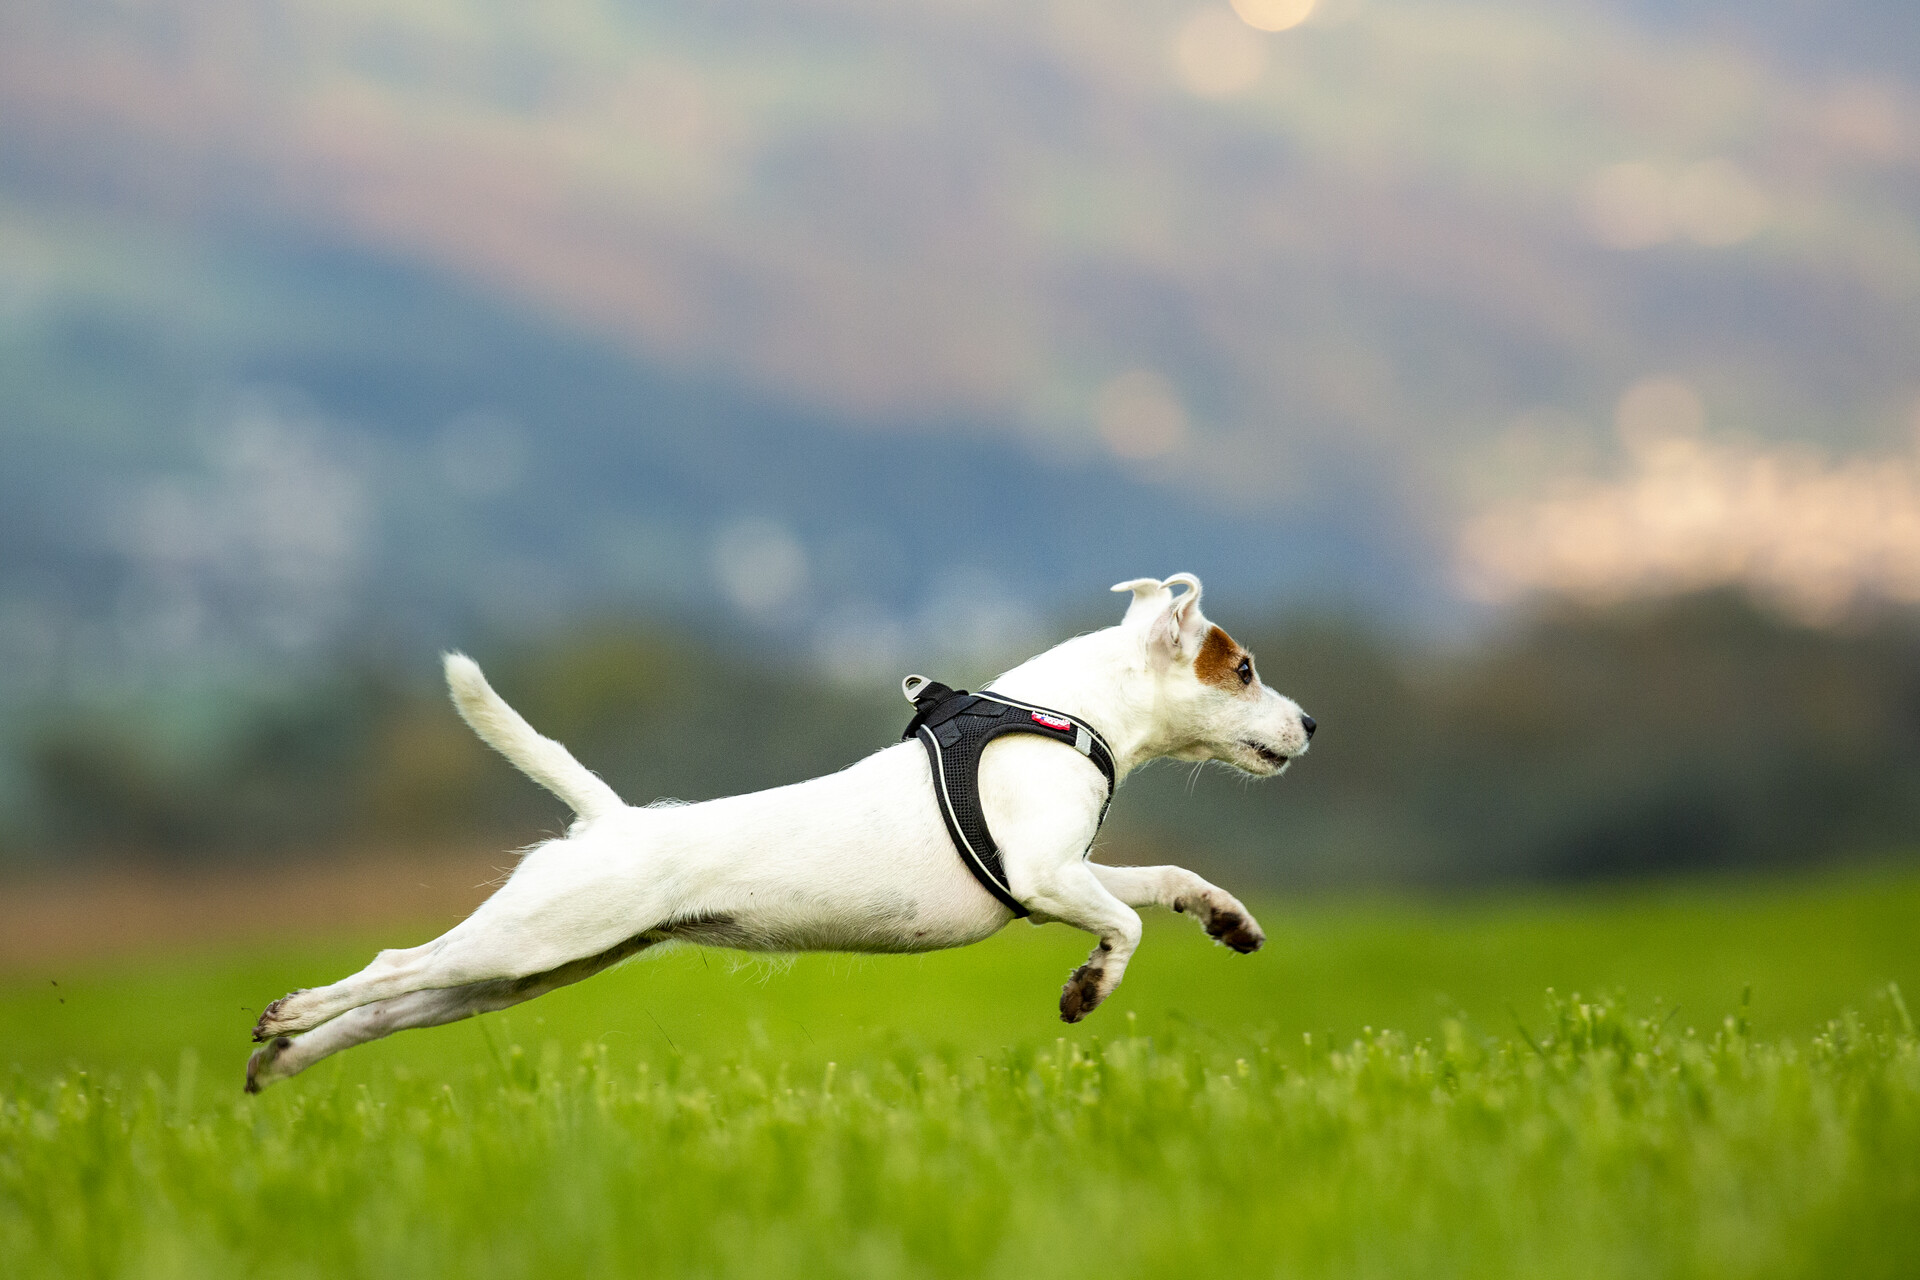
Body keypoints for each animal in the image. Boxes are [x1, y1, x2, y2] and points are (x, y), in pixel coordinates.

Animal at [247, 579, 1313, 1090]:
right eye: (1244, 670)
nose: (1311, 723)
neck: (1065, 717)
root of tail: (609, 822)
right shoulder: (1046, 881)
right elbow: (1121, 928)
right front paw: (1087, 988)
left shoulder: (1066, 876)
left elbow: (1163, 880)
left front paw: (1226, 917)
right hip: (529, 940)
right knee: (390, 968)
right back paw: (287, 1015)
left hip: (529, 969)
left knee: (390, 1010)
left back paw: (285, 1061)